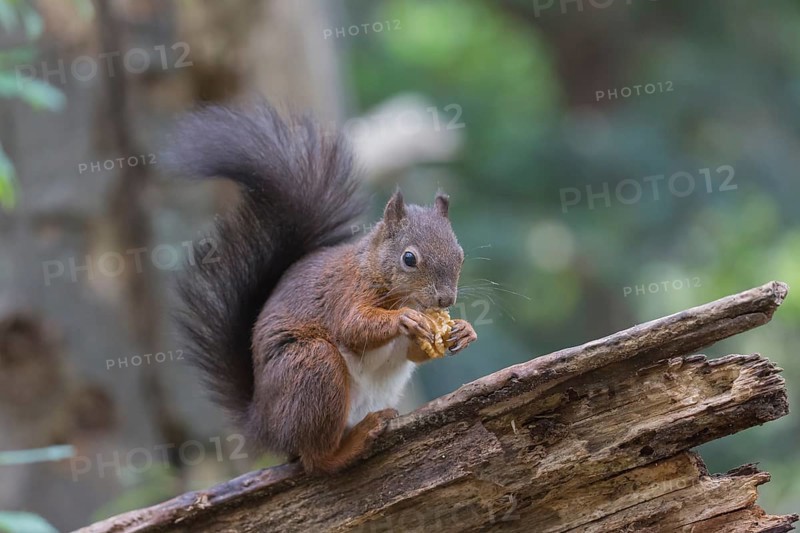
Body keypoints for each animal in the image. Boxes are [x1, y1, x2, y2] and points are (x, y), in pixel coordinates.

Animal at [169, 103, 477, 475]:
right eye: (409, 258)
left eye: (460, 254)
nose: (447, 298)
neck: (374, 269)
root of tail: (264, 424)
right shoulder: (344, 292)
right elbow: (351, 325)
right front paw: (404, 319)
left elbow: (414, 352)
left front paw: (463, 330)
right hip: (313, 367)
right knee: (316, 459)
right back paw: (356, 440)